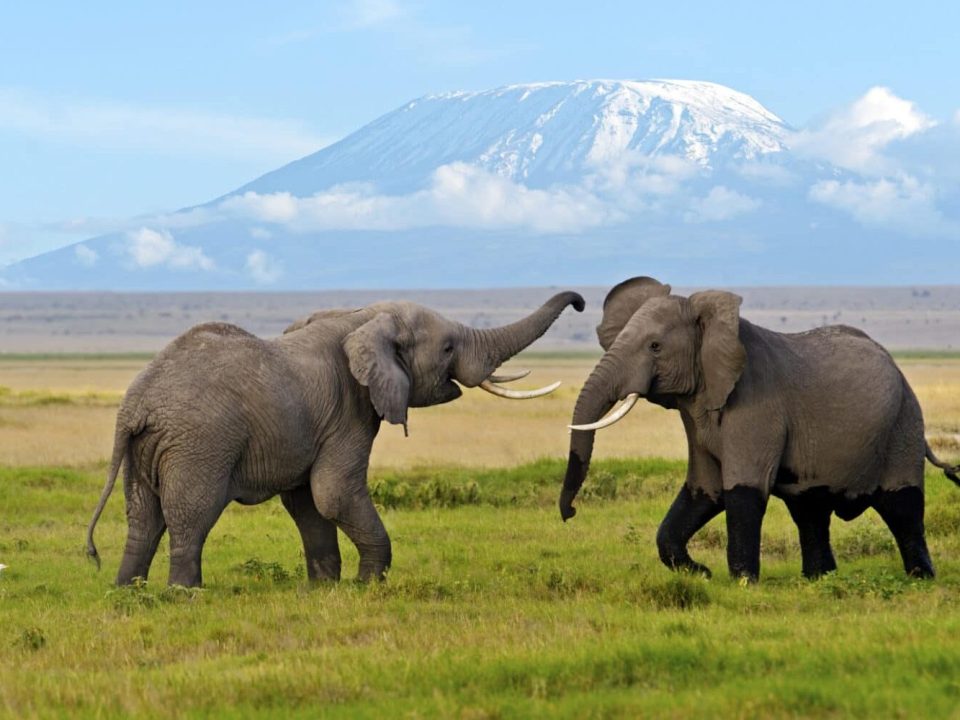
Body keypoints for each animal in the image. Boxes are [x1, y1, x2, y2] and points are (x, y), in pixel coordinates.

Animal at [86, 291, 585, 587]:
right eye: (446, 349)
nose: (580, 302)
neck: (361, 316)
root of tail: (135, 405)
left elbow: (307, 502)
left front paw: (325, 588)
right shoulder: (349, 410)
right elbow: (334, 493)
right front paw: (369, 585)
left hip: (145, 448)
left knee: (143, 518)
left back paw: (129, 592)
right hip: (199, 445)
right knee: (191, 515)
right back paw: (186, 594)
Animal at [559, 276, 959, 581]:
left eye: (655, 346)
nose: (570, 514)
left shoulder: (756, 404)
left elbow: (743, 490)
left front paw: (742, 583)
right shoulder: (697, 410)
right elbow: (704, 490)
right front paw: (701, 573)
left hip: (904, 423)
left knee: (902, 506)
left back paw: (921, 579)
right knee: (809, 509)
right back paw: (819, 580)